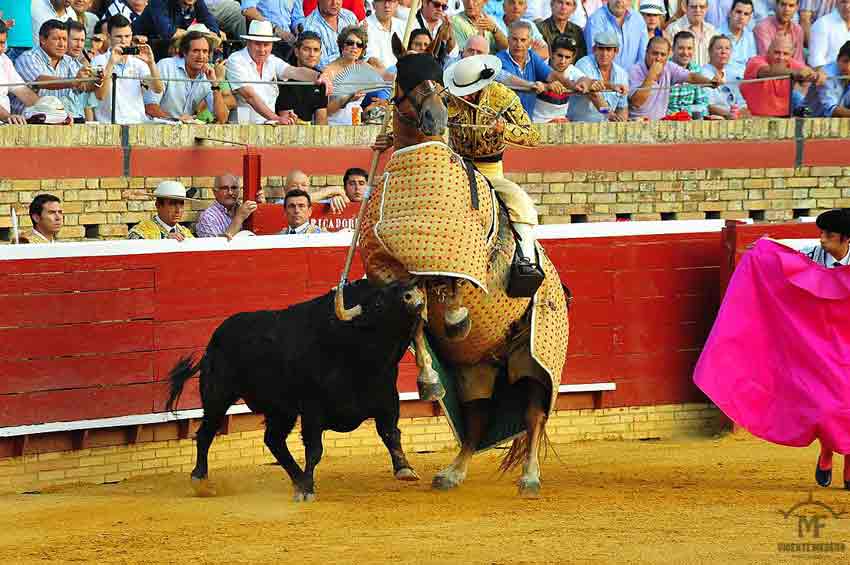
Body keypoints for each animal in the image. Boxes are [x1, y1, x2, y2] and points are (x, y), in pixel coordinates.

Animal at [165, 280, 428, 500]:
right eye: (378, 302)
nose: (413, 294)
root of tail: (214, 340)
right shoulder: (312, 410)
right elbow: (314, 449)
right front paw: (308, 489)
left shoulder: (387, 399)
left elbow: (390, 433)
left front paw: (405, 469)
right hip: (218, 396)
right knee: (206, 433)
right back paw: (201, 480)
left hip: (281, 410)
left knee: (273, 440)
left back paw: (297, 479)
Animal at [332, 49, 568, 498]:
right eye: (405, 77)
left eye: (439, 83)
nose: (435, 120)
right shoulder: (388, 272)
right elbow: (414, 310)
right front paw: (428, 381)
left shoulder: (460, 261)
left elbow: (452, 289)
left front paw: (456, 318)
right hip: (475, 370)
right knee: (477, 421)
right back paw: (452, 473)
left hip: (532, 357)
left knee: (533, 415)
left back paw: (529, 477)